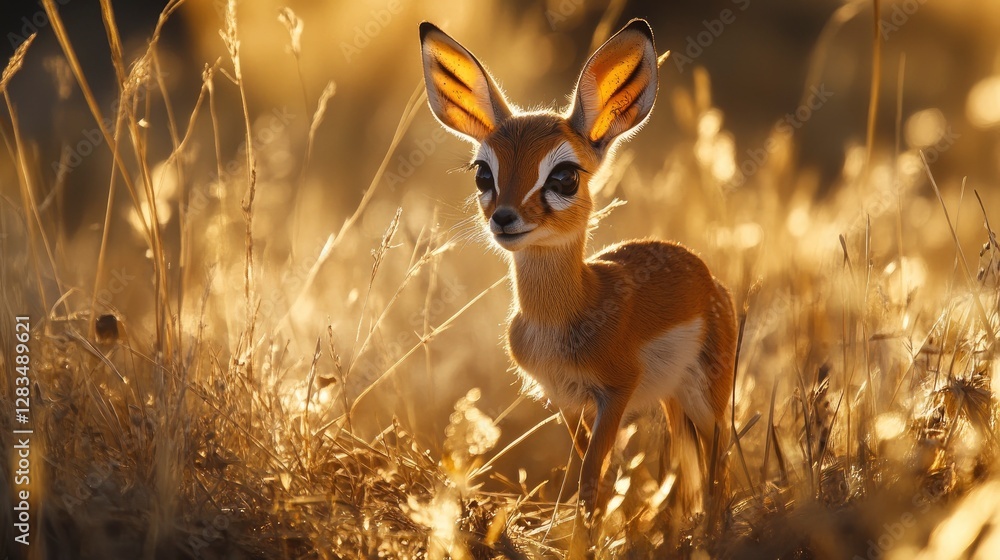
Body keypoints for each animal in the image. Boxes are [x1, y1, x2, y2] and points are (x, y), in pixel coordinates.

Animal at [419, 19, 737, 516]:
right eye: (483, 173)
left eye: (565, 176)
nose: (504, 218)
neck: (565, 313)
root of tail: (709, 281)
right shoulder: (564, 399)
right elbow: (590, 475)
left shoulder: (615, 393)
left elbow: (590, 479)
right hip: (673, 399)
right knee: (692, 466)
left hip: (707, 397)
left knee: (720, 464)